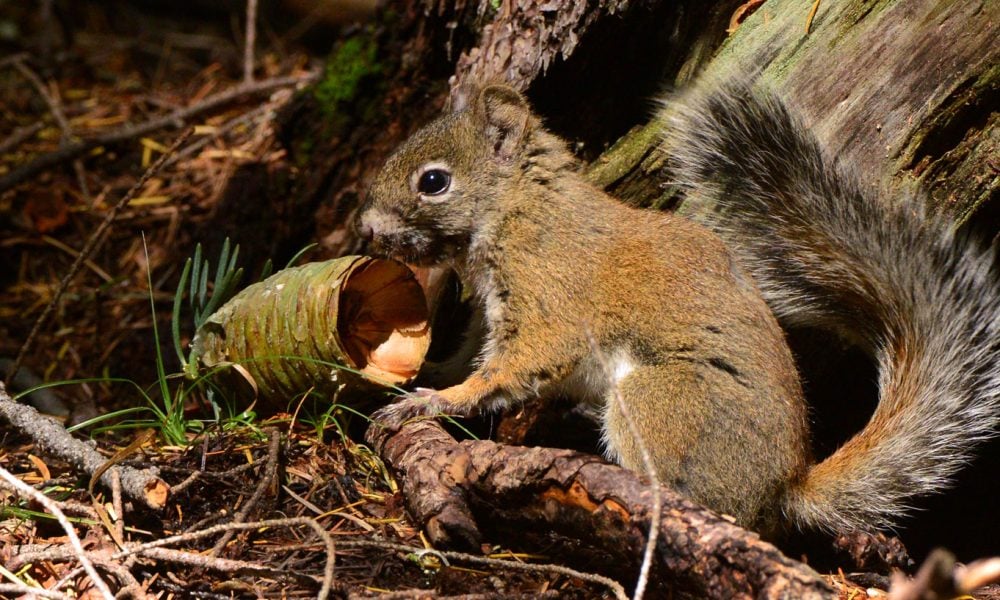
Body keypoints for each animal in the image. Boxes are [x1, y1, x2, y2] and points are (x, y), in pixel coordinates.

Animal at [355, 78, 1000, 537]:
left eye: (433, 182)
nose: (365, 229)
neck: (518, 207)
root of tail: (782, 488)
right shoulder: (492, 309)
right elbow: (469, 352)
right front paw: (426, 374)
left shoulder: (548, 296)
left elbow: (511, 367)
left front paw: (432, 402)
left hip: (661, 402)